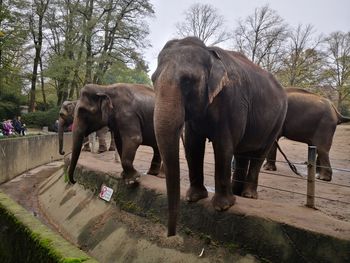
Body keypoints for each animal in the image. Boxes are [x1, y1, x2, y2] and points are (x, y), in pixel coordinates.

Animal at [152, 37, 288, 237]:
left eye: (187, 81)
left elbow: (223, 146)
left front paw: (222, 207)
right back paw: (237, 193)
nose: (171, 235)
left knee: (259, 154)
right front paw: (193, 198)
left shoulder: (232, 101)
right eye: (153, 80)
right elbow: (193, 145)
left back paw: (248, 195)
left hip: (277, 121)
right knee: (241, 154)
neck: (209, 52)